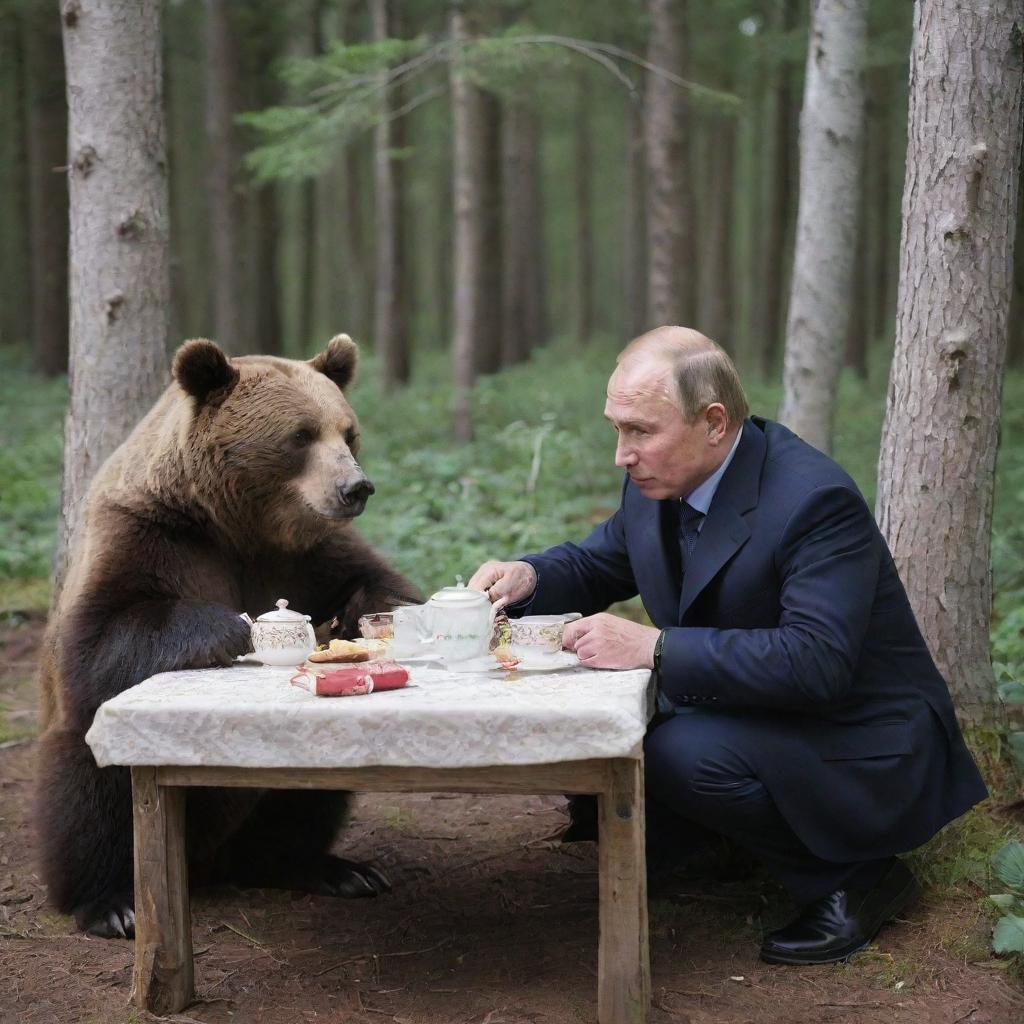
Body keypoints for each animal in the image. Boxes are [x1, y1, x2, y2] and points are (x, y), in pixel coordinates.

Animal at [35, 333, 419, 937]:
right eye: (301, 434)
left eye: (349, 431)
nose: (355, 487)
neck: (239, 523)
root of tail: (207, 861)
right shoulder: (151, 533)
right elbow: (99, 638)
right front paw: (231, 628)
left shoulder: (308, 554)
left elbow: (378, 582)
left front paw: (363, 620)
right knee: (87, 782)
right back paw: (112, 902)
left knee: (305, 804)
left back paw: (326, 868)